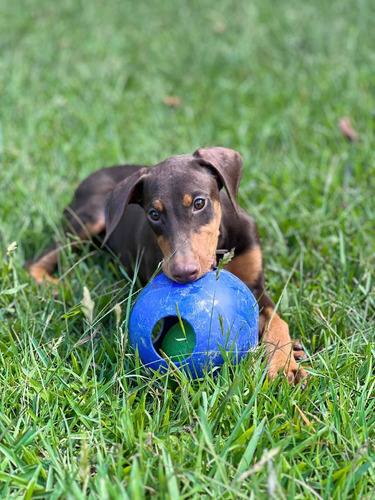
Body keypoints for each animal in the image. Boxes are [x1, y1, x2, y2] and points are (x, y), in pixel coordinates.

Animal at [29, 147, 310, 382]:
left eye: (199, 203)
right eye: (154, 214)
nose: (183, 273)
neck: (219, 249)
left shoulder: (255, 285)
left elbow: (277, 321)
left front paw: (284, 365)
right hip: (90, 216)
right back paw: (52, 285)